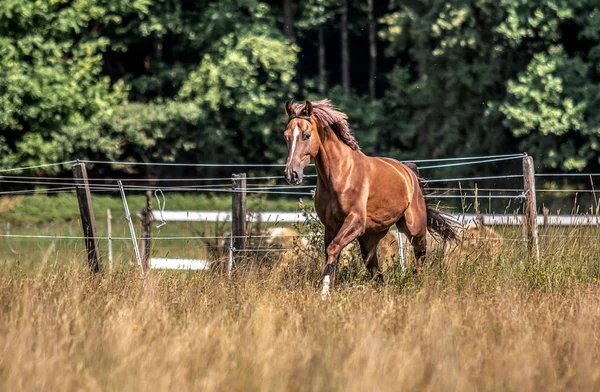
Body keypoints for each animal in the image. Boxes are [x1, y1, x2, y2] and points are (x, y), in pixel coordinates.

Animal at [284, 99, 458, 298]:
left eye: (306, 135)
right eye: (286, 136)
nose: (291, 175)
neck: (339, 174)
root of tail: (408, 172)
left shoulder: (355, 222)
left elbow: (333, 249)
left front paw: (324, 293)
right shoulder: (331, 226)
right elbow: (331, 254)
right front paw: (326, 290)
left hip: (415, 228)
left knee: (420, 256)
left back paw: (419, 287)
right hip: (369, 239)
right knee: (377, 272)